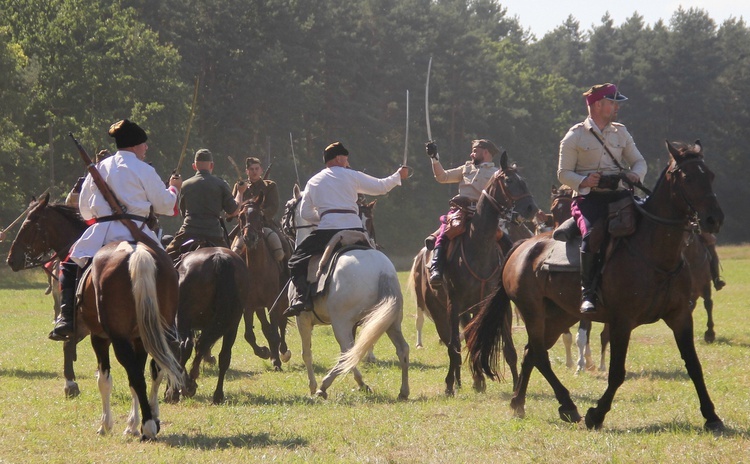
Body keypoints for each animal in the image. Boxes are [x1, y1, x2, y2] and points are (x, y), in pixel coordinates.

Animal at [284, 187, 412, 400]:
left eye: (288, 207)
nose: (283, 226)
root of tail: (382, 270)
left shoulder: (303, 320)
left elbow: (307, 353)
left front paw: (312, 385)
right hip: (391, 321)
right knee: (400, 349)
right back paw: (403, 391)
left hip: (341, 323)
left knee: (349, 352)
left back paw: (327, 386)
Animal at [412, 152, 540, 396]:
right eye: (509, 180)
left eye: (525, 180)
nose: (531, 208)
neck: (479, 246)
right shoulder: (453, 305)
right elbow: (454, 345)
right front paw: (449, 385)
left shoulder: (497, 305)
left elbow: (508, 349)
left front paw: (515, 386)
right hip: (441, 310)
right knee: (452, 343)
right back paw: (457, 381)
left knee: (470, 339)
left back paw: (476, 380)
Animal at [468, 141, 724, 432]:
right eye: (688, 178)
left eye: (710, 175)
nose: (714, 219)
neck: (654, 252)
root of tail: (521, 247)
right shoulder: (622, 321)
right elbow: (616, 373)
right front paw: (596, 414)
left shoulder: (680, 317)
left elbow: (694, 366)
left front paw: (712, 416)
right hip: (533, 312)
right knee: (540, 355)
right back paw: (568, 405)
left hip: (559, 316)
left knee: (531, 352)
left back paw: (518, 403)